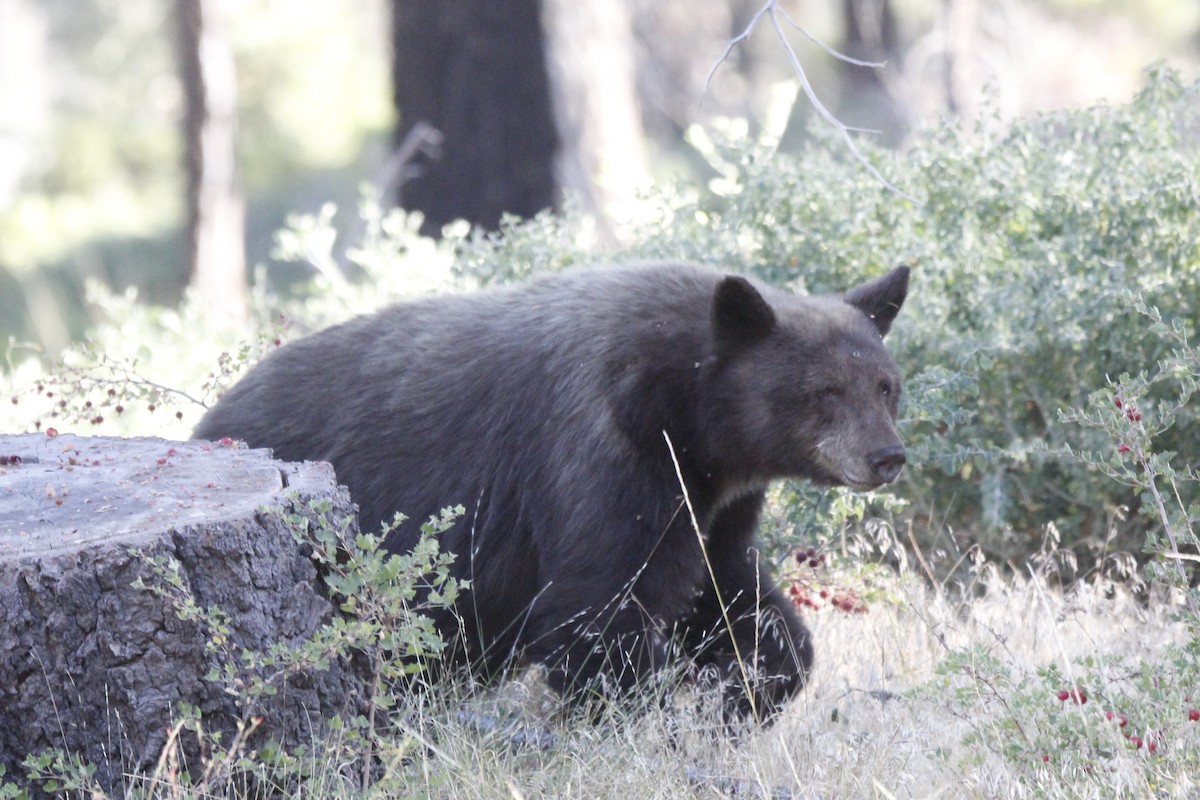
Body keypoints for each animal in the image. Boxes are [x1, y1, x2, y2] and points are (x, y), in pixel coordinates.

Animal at [195, 261, 910, 724]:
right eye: (825, 390)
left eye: (885, 384)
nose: (888, 457)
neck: (678, 406)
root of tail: (209, 424)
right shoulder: (603, 453)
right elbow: (597, 611)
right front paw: (645, 724)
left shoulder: (715, 500)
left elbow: (726, 589)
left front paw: (745, 690)